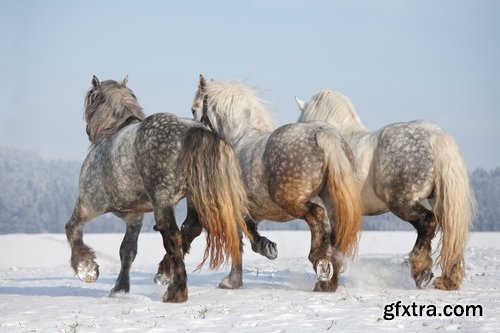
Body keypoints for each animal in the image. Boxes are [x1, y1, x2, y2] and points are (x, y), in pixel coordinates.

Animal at [294, 89, 474, 290]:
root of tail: (434, 135)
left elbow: (328, 243)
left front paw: (326, 282)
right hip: (439, 202)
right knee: (452, 236)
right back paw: (446, 280)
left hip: (402, 203)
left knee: (428, 223)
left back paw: (422, 272)